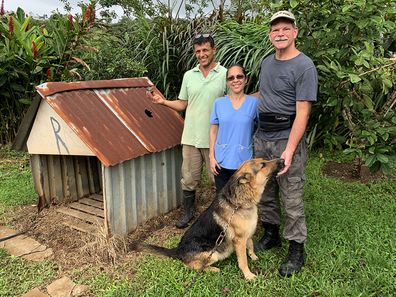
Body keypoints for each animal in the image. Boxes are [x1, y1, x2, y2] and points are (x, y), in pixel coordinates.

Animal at [135, 158, 284, 278]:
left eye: (264, 160)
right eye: (263, 165)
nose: (282, 160)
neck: (239, 203)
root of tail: (178, 250)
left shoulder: (246, 236)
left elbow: (251, 245)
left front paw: (253, 257)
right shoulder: (239, 241)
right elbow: (243, 261)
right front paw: (248, 275)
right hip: (214, 253)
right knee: (191, 265)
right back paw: (212, 269)